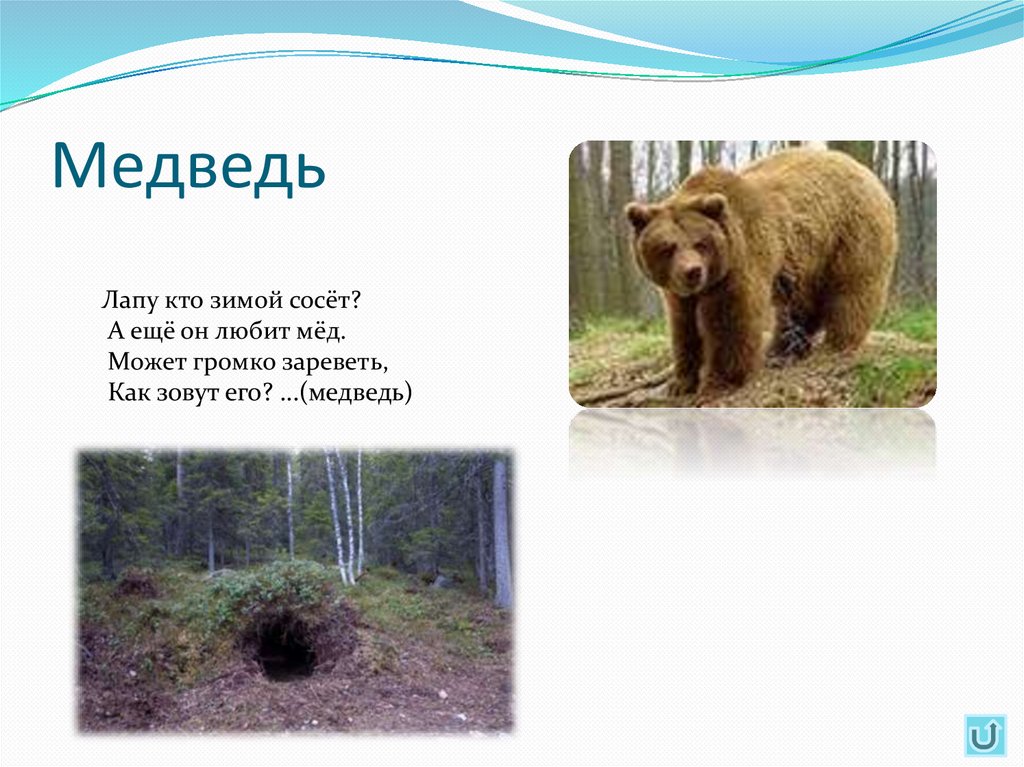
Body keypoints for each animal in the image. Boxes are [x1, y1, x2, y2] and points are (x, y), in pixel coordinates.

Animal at [625, 148, 897, 398]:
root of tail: (867, 172)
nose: (693, 271)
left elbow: (731, 321)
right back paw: (783, 351)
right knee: (800, 304)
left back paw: (838, 343)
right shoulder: (679, 292)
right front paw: (680, 383)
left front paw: (718, 383)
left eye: (700, 243)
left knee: (852, 289)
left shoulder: (739, 260)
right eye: (668, 247)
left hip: (850, 233)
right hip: (806, 258)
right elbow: (684, 326)